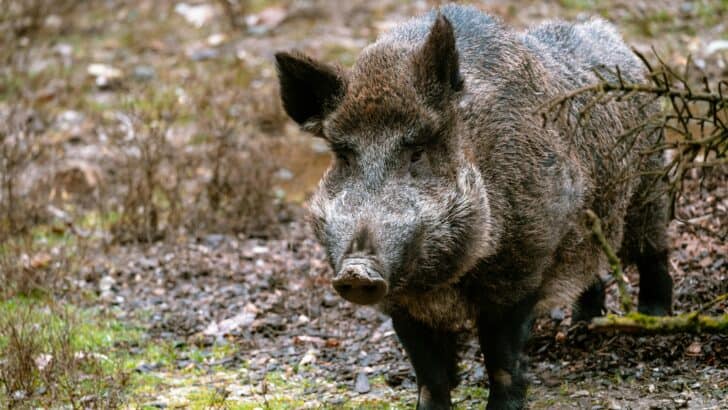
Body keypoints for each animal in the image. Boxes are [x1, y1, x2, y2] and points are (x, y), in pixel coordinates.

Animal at [275, 4, 672, 409]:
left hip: (649, 187)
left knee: (653, 252)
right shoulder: (402, 303)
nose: (356, 271)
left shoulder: (522, 266)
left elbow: (500, 354)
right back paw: (580, 326)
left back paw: (653, 320)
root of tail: (613, 38)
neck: (440, 281)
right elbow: (428, 369)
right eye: (343, 156)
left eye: (417, 153)